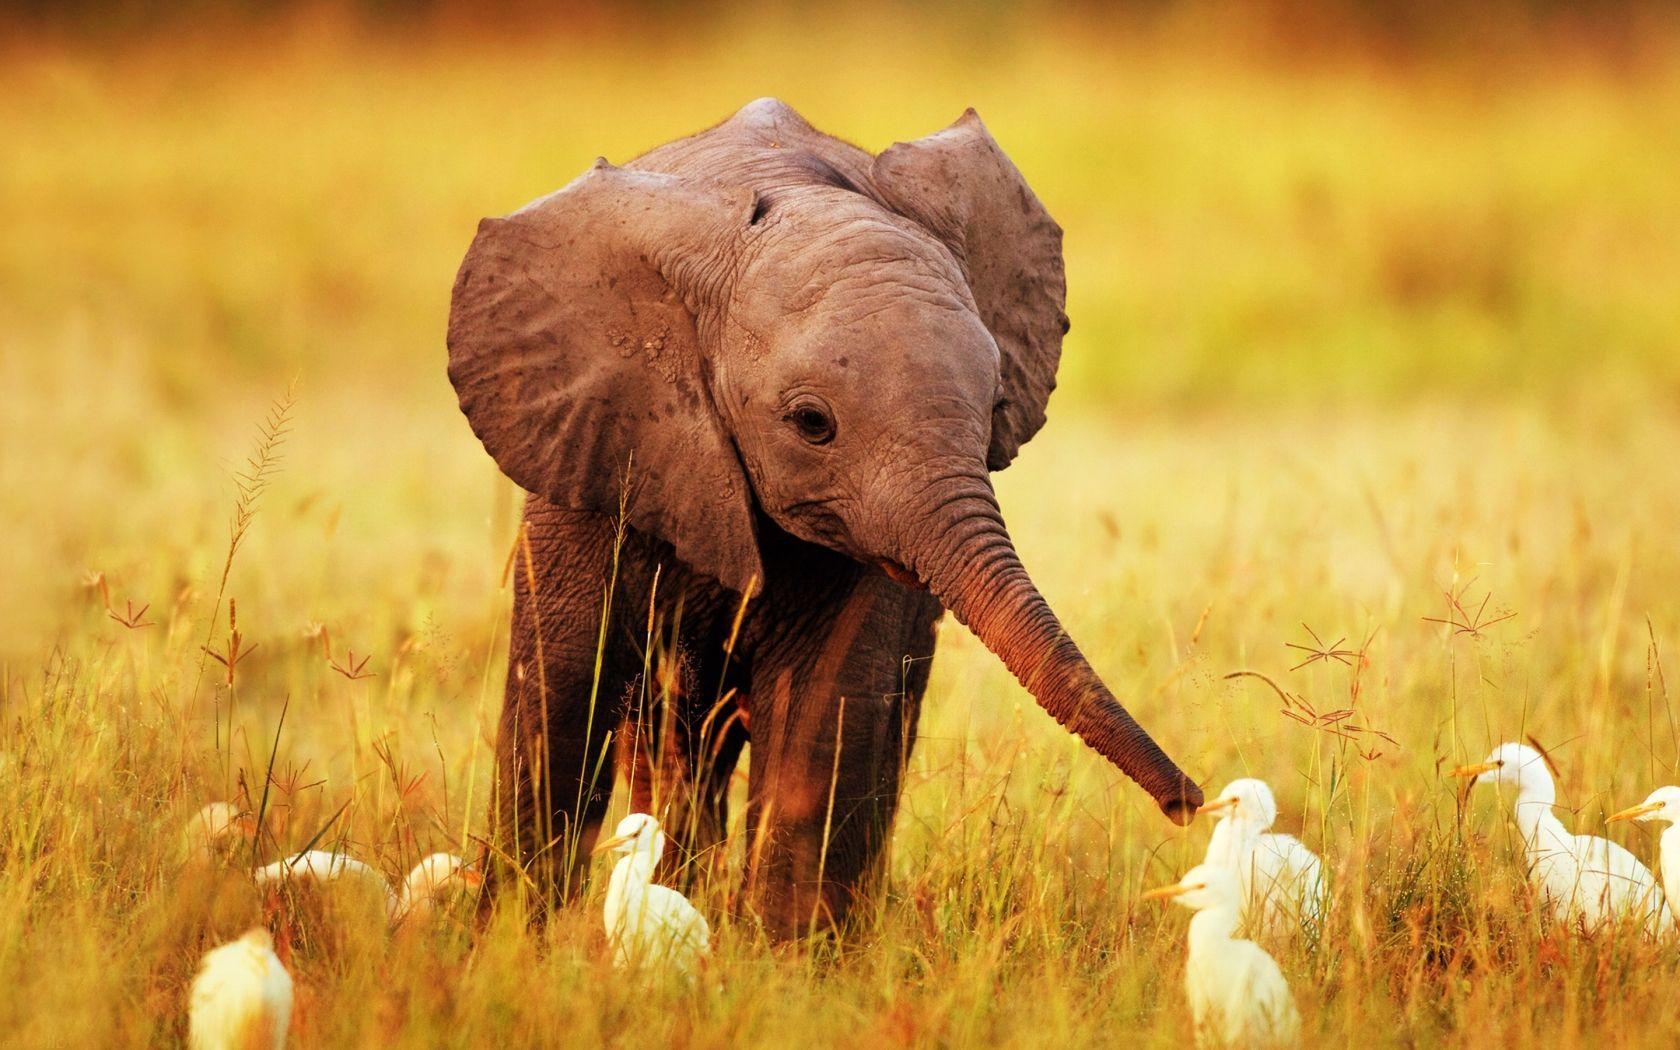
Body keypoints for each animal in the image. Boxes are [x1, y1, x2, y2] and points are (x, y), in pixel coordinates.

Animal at [446, 97, 1202, 940]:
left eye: (998, 405)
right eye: (812, 424)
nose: (1189, 805)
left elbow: (826, 710)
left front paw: (787, 960)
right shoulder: (593, 447)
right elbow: (560, 696)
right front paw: (509, 942)